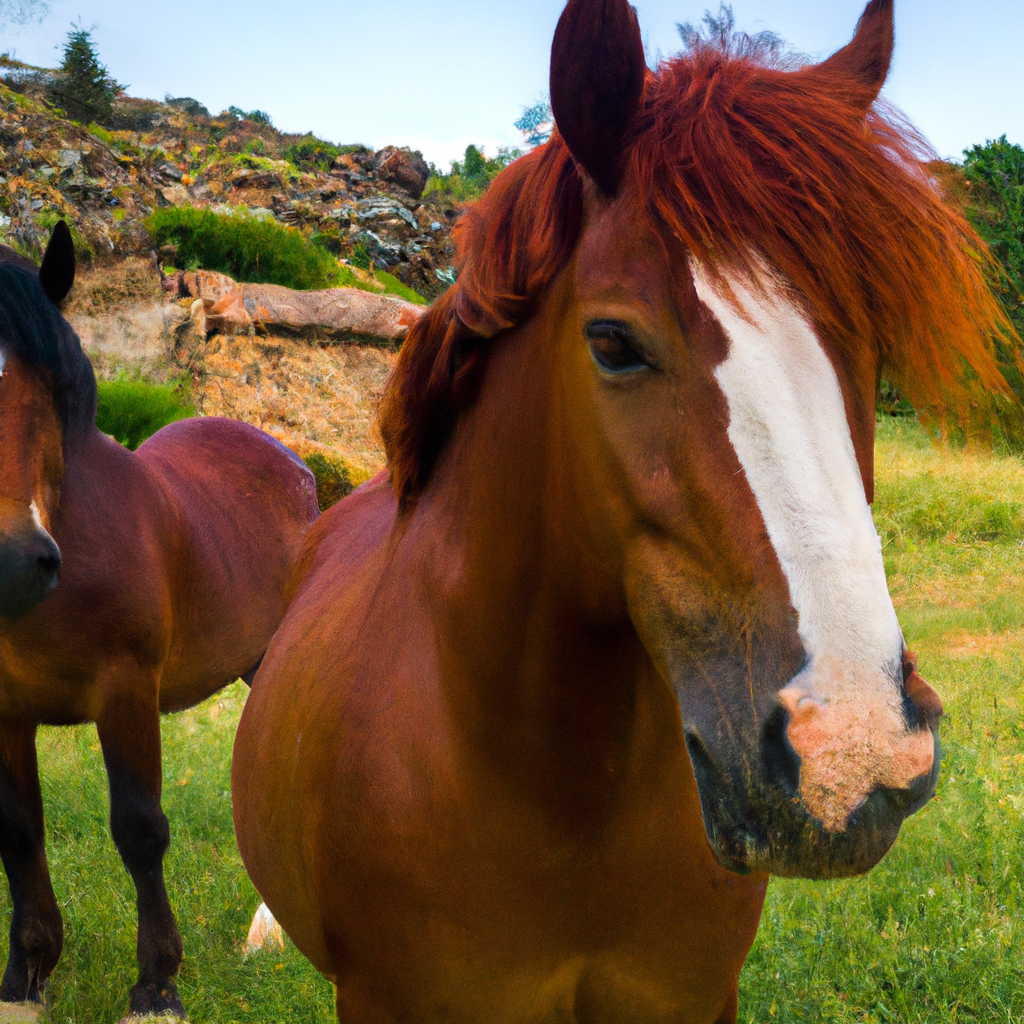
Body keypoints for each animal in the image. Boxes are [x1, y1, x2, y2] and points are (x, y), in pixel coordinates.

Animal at [0, 224, 317, 1015]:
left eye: (48, 391)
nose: (10, 561)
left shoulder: (126, 692)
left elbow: (139, 830)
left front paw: (156, 985)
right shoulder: (5, 710)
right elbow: (18, 831)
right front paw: (27, 975)